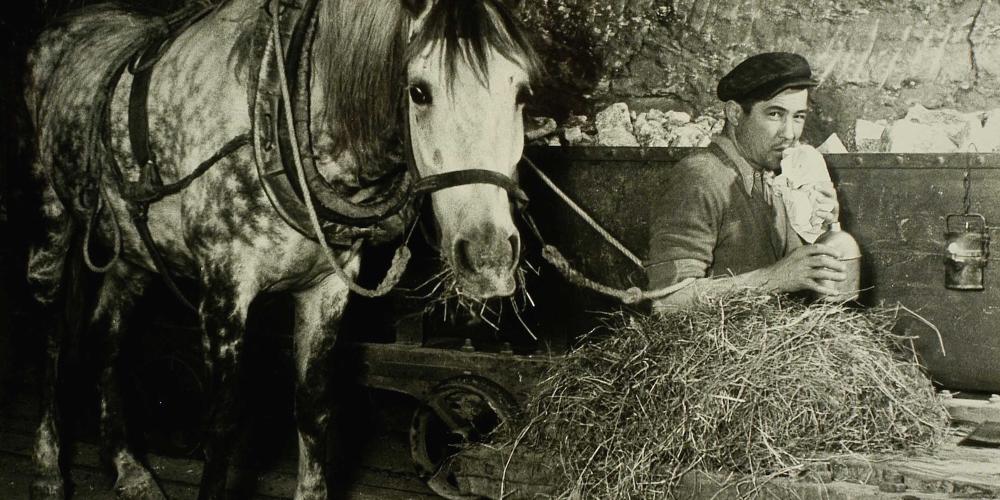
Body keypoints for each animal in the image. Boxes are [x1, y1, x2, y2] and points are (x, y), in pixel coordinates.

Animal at [22, 0, 541, 497]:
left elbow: (313, 407)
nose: (489, 257)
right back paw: (47, 468)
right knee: (51, 336)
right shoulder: (224, 292)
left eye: (521, 93)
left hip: (133, 252)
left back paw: (129, 468)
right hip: (51, 214)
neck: (280, 105)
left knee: (105, 338)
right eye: (419, 90)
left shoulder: (327, 289)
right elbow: (223, 424)